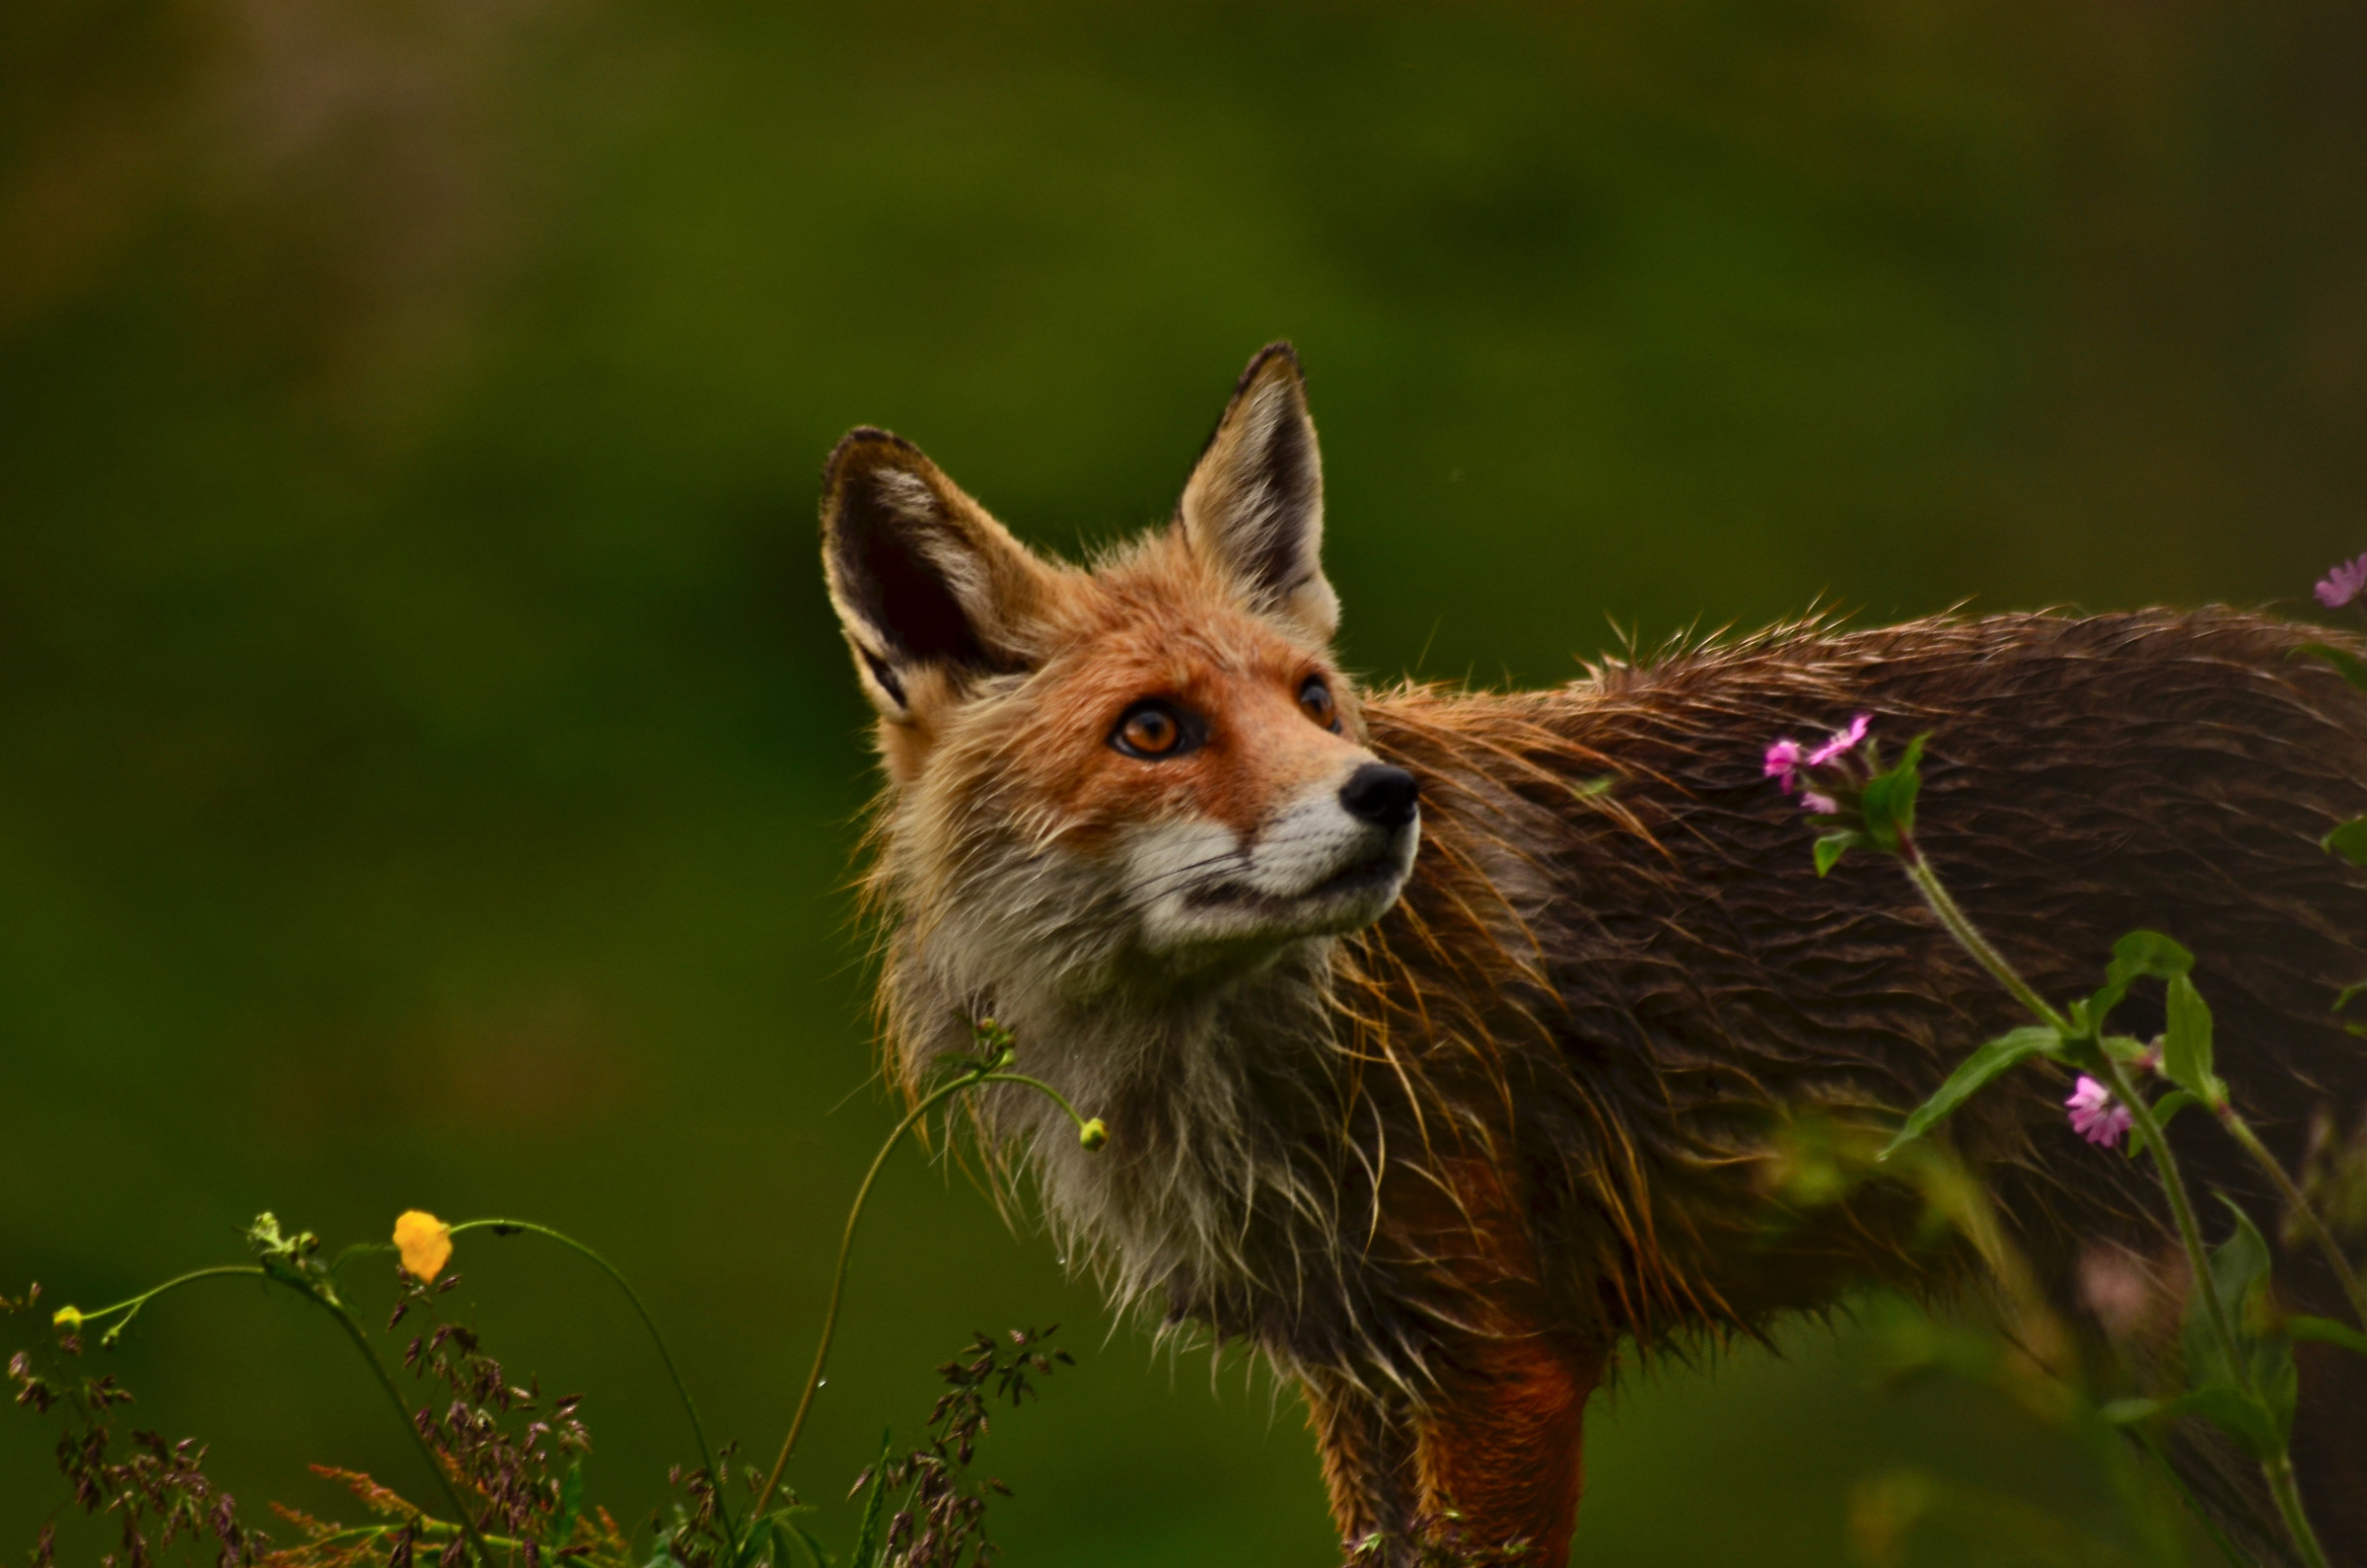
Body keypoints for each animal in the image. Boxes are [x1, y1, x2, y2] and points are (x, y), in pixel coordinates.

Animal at [819, 342, 2367, 1565]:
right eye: (1152, 729)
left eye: (1313, 698)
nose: (1387, 796)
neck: (1247, 1075)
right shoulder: (1359, 1369)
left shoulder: (1503, 1360)